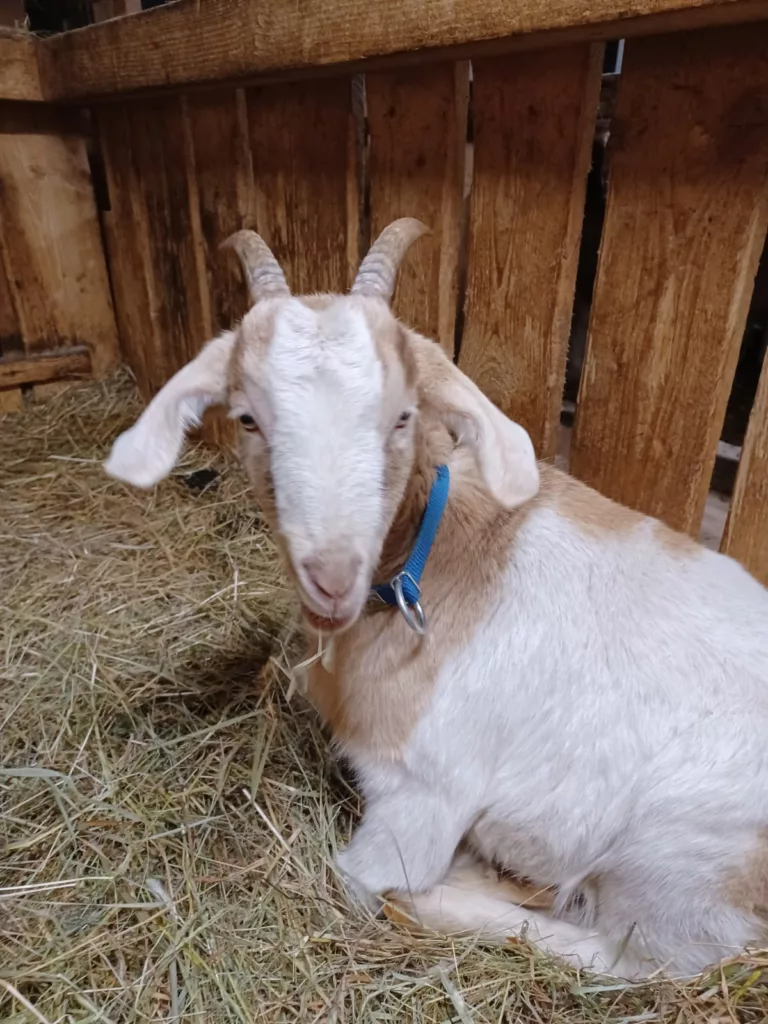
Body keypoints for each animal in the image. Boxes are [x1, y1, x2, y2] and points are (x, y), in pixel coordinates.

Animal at [106, 218, 768, 981]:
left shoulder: (421, 798)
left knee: (635, 961)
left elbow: (354, 877)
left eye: (403, 416)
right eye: (247, 418)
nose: (331, 576)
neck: (433, 558)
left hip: (675, 863)